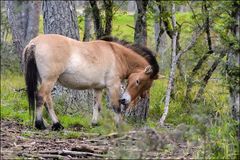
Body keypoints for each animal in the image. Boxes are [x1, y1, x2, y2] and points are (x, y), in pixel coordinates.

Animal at [23, 34, 159, 131]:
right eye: (138, 81)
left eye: (147, 85)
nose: (125, 100)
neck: (116, 54)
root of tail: (34, 43)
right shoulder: (113, 85)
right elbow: (116, 106)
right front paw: (119, 125)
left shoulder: (98, 88)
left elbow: (96, 106)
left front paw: (94, 123)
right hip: (49, 80)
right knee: (41, 97)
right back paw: (40, 124)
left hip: (45, 80)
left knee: (48, 101)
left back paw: (57, 125)